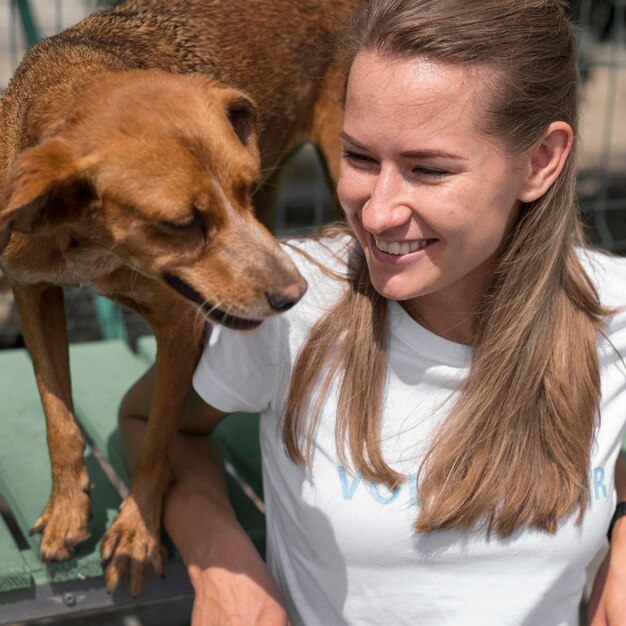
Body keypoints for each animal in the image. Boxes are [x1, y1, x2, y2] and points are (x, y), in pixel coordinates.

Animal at [0, 0, 356, 596]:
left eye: (241, 189)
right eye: (183, 224)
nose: (294, 294)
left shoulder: (180, 329)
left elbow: (158, 440)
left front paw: (137, 533)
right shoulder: (32, 291)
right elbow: (58, 417)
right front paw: (69, 509)